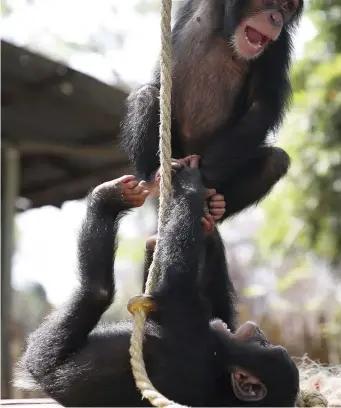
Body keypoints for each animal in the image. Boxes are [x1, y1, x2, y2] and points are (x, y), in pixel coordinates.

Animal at [15, 161, 298, 406]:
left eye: (263, 345)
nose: (258, 331)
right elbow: (220, 313)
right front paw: (208, 219)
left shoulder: (192, 330)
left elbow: (173, 281)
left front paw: (190, 184)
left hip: (45, 361)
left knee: (96, 292)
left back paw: (107, 200)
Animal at [120, 0, 302, 222]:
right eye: (271, 3)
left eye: (287, 7)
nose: (276, 18)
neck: (229, 32)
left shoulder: (278, 47)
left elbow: (262, 104)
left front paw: (202, 177)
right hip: (175, 152)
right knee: (145, 96)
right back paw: (155, 177)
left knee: (276, 161)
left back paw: (215, 208)